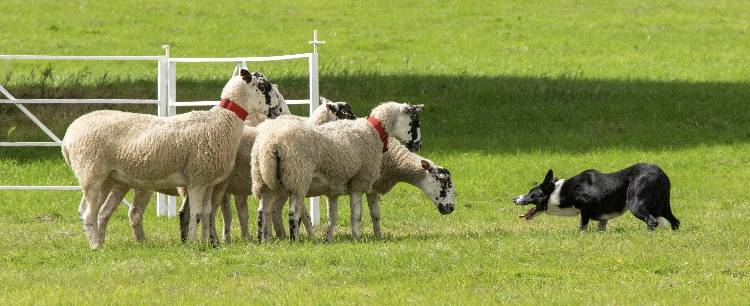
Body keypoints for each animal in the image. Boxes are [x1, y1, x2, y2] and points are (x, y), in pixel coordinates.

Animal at [63, 69, 270, 249]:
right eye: (263, 86)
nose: (274, 111)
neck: (224, 120)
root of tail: (68, 135)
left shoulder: (208, 182)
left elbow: (206, 212)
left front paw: (206, 242)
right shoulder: (197, 179)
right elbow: (196, 213)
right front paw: (194, 244)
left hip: (108, 178)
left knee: (97, 212)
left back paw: (102, 242)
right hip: (91, 171)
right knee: (88, 213)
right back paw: (96, 246)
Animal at [253, 101, 426, 240]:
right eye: (415, 121)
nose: (418, 146)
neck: (374, 131)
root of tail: (271, 143)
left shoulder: (334, 188)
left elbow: (333, 217)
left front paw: (329, 238)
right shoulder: (359, 181)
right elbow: (356, 214)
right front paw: (356, 237)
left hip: (263, 180)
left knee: (262, 211)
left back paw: (263, 240)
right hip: (297, 178)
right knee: (292, 213)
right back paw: (293, 240)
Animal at [270, 138, 458, 241]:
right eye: (443, 180)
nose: (450, 208)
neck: (393, 161)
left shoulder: (372, 188)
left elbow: (376, 214)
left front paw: (378, 236)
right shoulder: (360, 184)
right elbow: (357, 214)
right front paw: (357, 236)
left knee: (275, 210)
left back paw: (281, 236)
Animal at [516, 164, 680, 231]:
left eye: (531, 193)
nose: (514, 198)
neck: (560, 191)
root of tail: (658, 173)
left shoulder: (585, 207)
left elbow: (582, 226)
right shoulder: (603, 219)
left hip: (636, 205)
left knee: (652, 221)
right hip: (662, 208)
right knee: (675, 222)